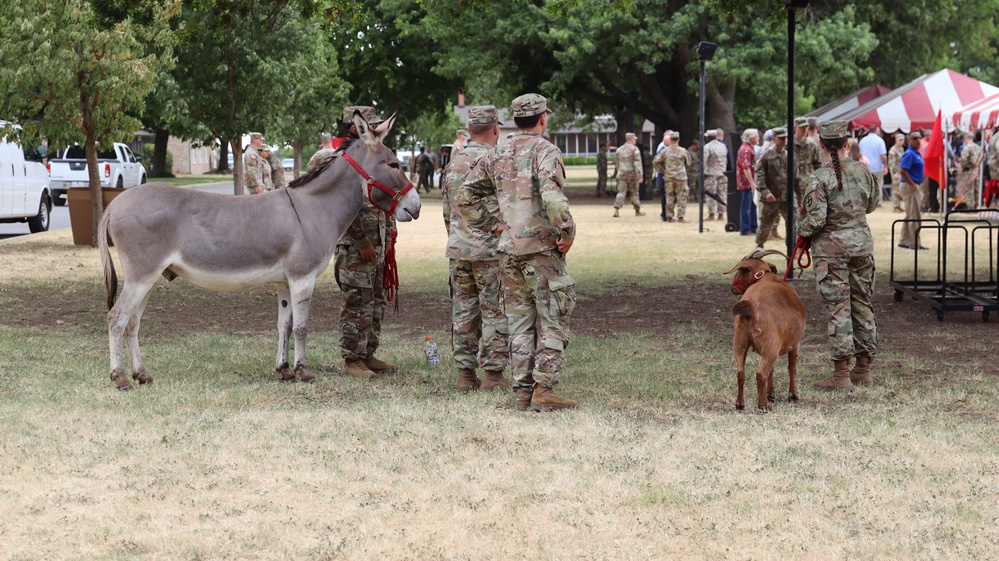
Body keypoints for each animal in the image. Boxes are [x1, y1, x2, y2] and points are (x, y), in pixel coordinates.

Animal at [732, 249, 808, 412]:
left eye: (741, 270)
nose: (732, 287)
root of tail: (751, 305)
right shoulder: (795, 344)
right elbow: (792, 367)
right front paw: (793, 395)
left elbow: (772, 371)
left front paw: (771, 394)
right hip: (770, 345)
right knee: (760, 374)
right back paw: (763, 405)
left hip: (740, 342)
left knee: (741, 373)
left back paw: (740, 404)